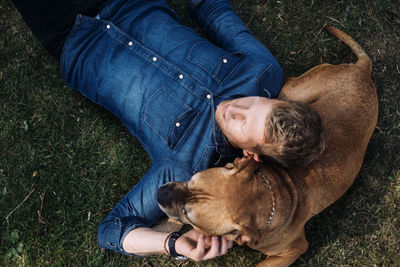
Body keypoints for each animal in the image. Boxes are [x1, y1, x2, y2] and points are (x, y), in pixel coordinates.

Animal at [156, 27, 378, 267]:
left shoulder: (292, 250)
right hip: (293, 93)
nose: (160, 193)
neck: (267, 193)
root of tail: (363, 70)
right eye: (192, 180)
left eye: (190, 216)